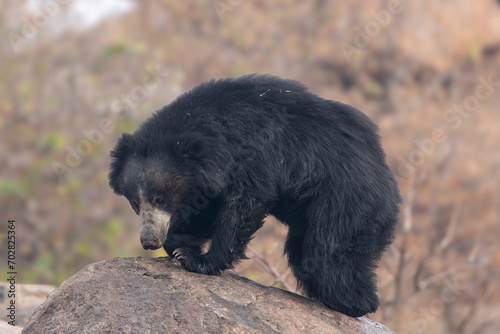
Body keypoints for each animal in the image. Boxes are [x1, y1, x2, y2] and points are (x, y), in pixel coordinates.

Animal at [107, 73, 400, 316]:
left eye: (160, 198)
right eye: (135, 203)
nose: (149, 241)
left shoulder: (256, 154)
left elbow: (245, 204)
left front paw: (195, 259)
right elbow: (205, 210)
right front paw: (181, 245)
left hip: (346, 198)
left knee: (330, 252)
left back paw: (352, 304)